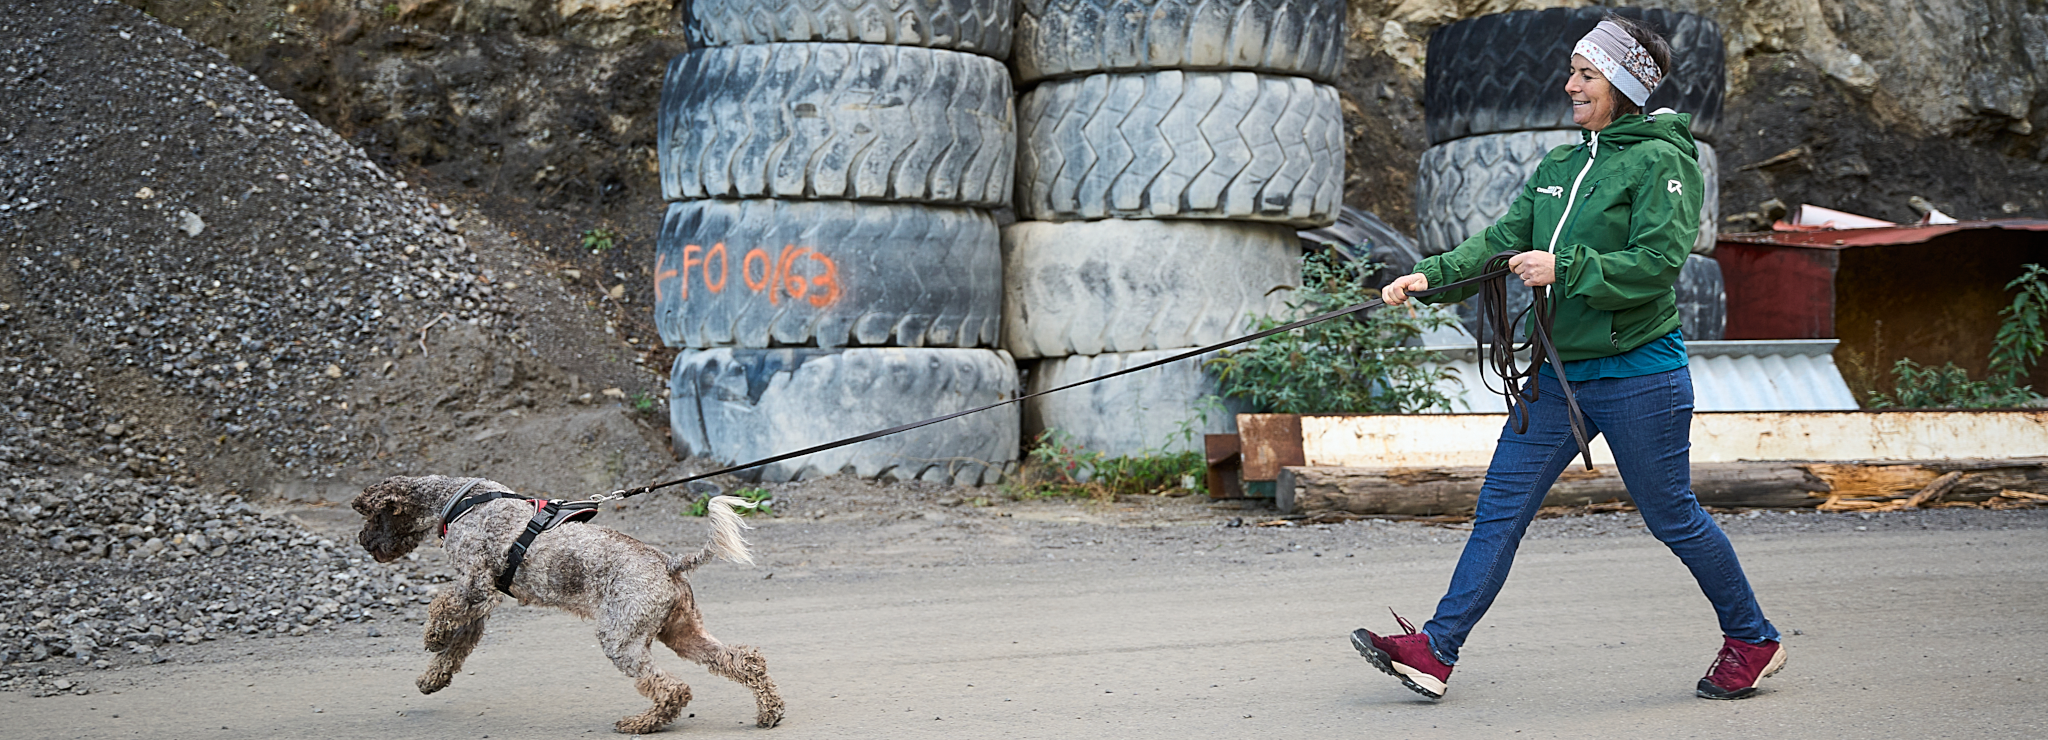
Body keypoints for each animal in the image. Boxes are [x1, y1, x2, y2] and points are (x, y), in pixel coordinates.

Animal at [352, 475, 782, 729]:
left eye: (373, 516)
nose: (363, 542)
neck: (458, 500)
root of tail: (670, 561)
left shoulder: (476, 587)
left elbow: (441, 609)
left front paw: (432, 636)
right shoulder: (479, 607)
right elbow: (454, 650)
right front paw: (431, 679)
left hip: (621, 639)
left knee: (673, 688)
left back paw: (640, 723)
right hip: (682, 633)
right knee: (744, 660)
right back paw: (769, 711)